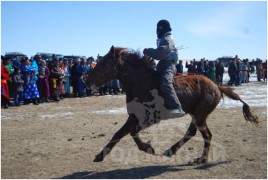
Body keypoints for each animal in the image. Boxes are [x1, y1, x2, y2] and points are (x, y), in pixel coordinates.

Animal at [85, 45, 258, 164]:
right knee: (192, 132)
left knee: (206, 135)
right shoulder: (134, 117)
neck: (142, 84)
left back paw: (201, 159)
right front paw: (100, 155)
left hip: (200, 115)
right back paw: (171, 151)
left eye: (104, 63)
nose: (86, 81)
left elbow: (133, 132)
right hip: (196, 115)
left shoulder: (150, 118)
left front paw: (148, 148)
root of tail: (216, 86)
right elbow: (118, 134)